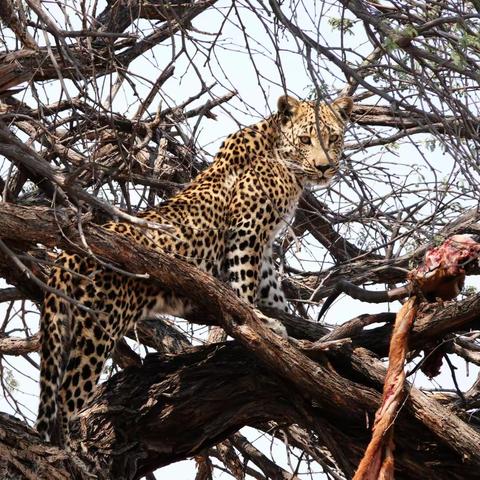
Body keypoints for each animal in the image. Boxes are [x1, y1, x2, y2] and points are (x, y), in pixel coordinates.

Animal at [36, 94, 352, 442]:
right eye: (306, 139)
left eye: (333, 138)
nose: (324, 167)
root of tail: (67, 257)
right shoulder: (246, 231)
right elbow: (245, 284)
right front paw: (258, 324)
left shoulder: (265, 244)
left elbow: (270, 286)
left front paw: (287, 325)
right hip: (97, 327)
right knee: (66, 400)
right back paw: (71, 450)